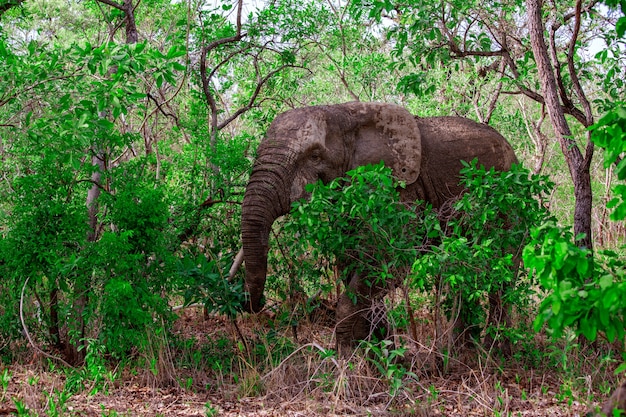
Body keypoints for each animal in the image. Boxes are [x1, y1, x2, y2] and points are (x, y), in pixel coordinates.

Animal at [240, 101, 516, 354]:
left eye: (315, 156)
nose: (255, 304)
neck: (345, 113)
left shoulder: (400, 190)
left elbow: (387, 260)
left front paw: (350, 359)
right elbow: (351, 263)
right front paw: (380, 353)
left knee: (502, 274)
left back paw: (494, 352)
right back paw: (460, 353)